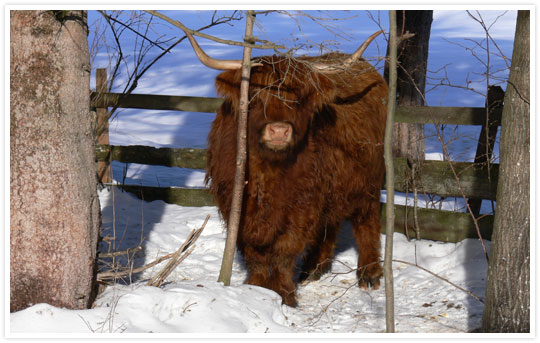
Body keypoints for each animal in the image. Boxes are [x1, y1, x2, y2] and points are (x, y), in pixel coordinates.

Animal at [186, 30, 388, 308]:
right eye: (255, 96)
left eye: (297, 99)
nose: (279, 130)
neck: (267, 172)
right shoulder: (235, 201)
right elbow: (254, 253)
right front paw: (256, 288)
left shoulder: (302, 204)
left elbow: (285, 249)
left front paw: (283, 293)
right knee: (330, 224)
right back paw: (313, 269)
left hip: (369, 180)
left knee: (366, 221)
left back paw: (369, 273)